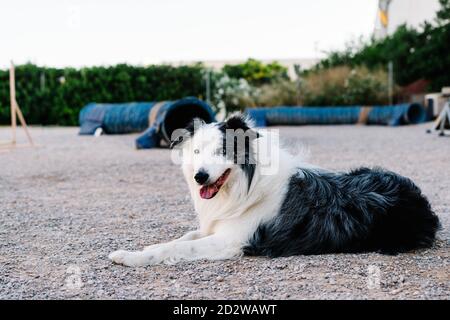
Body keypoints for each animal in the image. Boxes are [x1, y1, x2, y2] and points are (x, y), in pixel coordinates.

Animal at [109, 114, 440, 266]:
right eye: (197, 152)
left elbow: (177, 247)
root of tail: (421, 200)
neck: (243, 186)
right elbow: (185, 237)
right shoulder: (217, 226)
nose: (200, 177)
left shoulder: (232, 241)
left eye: (223, 151)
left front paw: (130, 256)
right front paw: (146, 248)